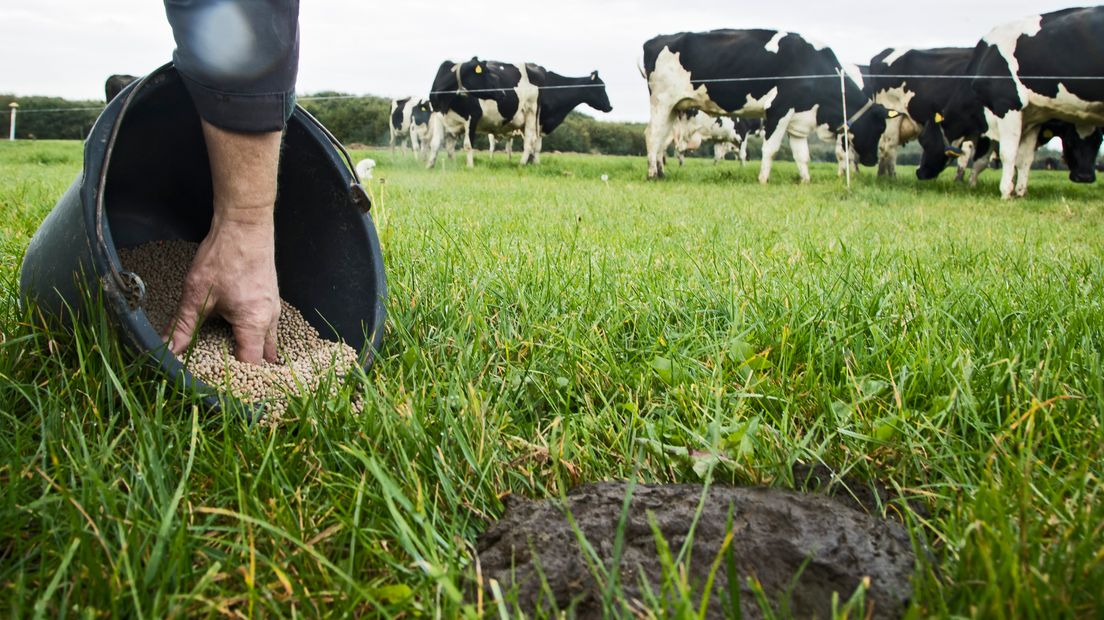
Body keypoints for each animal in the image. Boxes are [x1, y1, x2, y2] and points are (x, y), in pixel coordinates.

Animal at [640, 29, 887, 180]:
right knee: (653, 135)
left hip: (674, 107)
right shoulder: (778, 110)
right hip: (662, 101)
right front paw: (763, 178)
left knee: (661, 139)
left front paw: (805, 180)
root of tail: (654, 40)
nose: (873, 160)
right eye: (878, 129)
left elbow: (802, 155)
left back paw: (661, 171)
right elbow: (769, 149)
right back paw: (652, 173)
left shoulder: (798, 119)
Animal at [914, 6, 1104, 195]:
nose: (920, 172)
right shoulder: (1033, 118)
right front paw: (1019, 192)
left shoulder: (1006, 105)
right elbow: (1024, 158)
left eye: (925, 142)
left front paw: (1005, 191)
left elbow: (1006, 154)